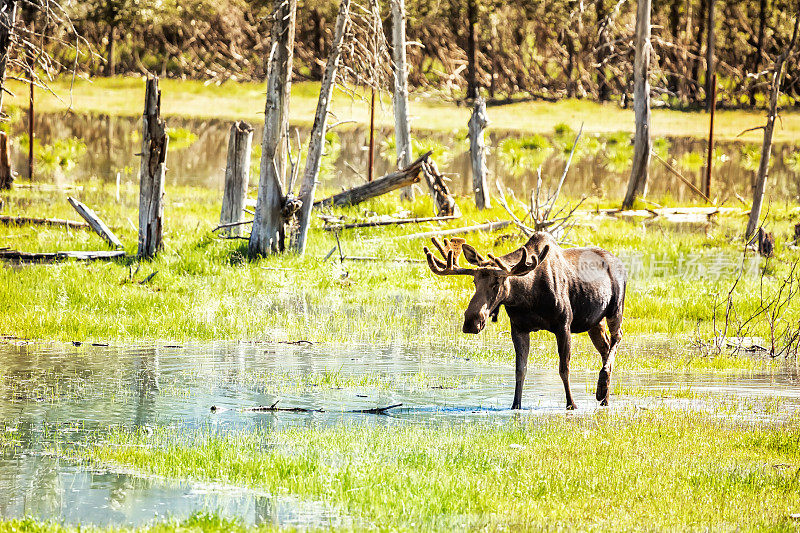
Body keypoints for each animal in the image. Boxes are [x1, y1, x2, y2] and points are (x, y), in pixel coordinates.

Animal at [424, 231, 624, 410]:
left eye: (497, 283)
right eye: (474, 282)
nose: (471, 322)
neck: (527, 298)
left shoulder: (564, 325)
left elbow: (564, 368)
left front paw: (571, 404)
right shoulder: (518, 328)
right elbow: (520, 370)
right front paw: (515, 405)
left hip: (616, 308)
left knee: (617, 337)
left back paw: (602, 385)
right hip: (595, 321)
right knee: (605, 347)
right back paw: (604, 397)